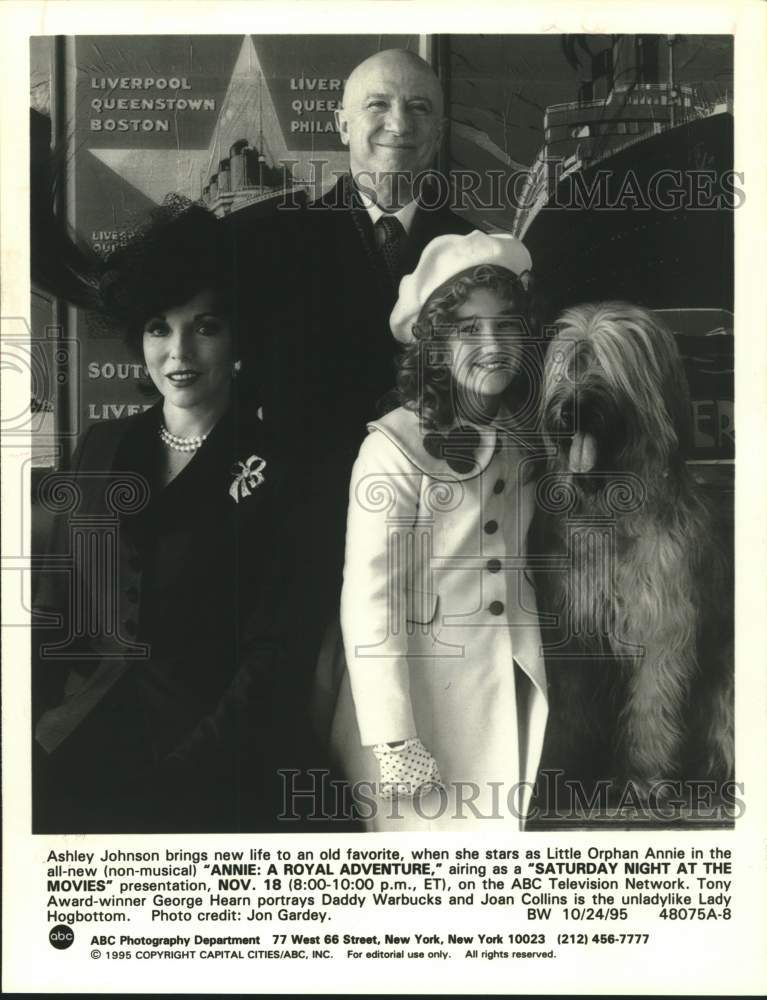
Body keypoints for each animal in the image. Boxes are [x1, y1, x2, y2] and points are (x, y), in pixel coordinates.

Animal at [532, 302, 736, 804]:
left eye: (607, 364)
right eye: (571, 365)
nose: (572, 409)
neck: (607, 507)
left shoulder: (660, 626)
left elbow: (651, 704)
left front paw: (642, 779)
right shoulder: (572, 626)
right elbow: (567, 706)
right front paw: (558, 770)